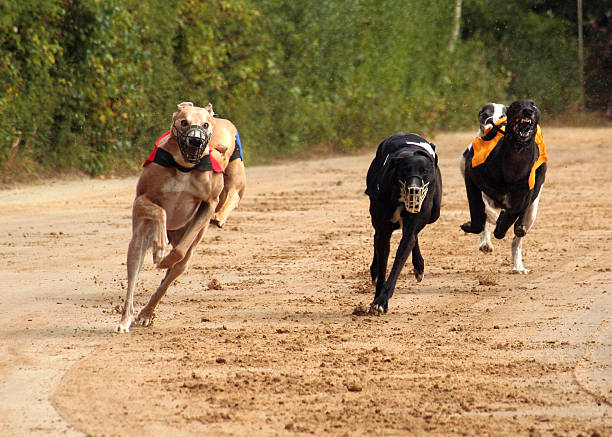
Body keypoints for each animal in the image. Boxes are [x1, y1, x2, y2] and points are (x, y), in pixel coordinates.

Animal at [116, 101, 244, 330]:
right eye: (184, 122)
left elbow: (179, 252)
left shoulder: (208, 204)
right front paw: (159, 248)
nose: (195, 140)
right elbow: (160, 211)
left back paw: (147, 312)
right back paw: (126, 319)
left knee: (170, 276)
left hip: (186, 252)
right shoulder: (141, 199)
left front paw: (165, 258)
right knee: (133, 275)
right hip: (138, 240)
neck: (184, 167)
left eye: (205, 124)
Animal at [366, 131, 442, 312]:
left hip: (434, 213)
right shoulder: (384, 232)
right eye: (405, 170)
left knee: (414, 235)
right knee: (376, 236)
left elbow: (398, 263)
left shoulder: (411, 227)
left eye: (425, 171)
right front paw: (377, 299)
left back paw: (419, 266)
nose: (414, 189)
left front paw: (382, 301)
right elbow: (383, 265)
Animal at [460, 99, 544, 272]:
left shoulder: (526, 198)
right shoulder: (475, 186)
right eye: (484, 114)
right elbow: (483, 213)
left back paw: (518, 265)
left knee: (517, 238)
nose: (489, 122)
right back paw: (487, 240)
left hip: (531, 213)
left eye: (503, 115)